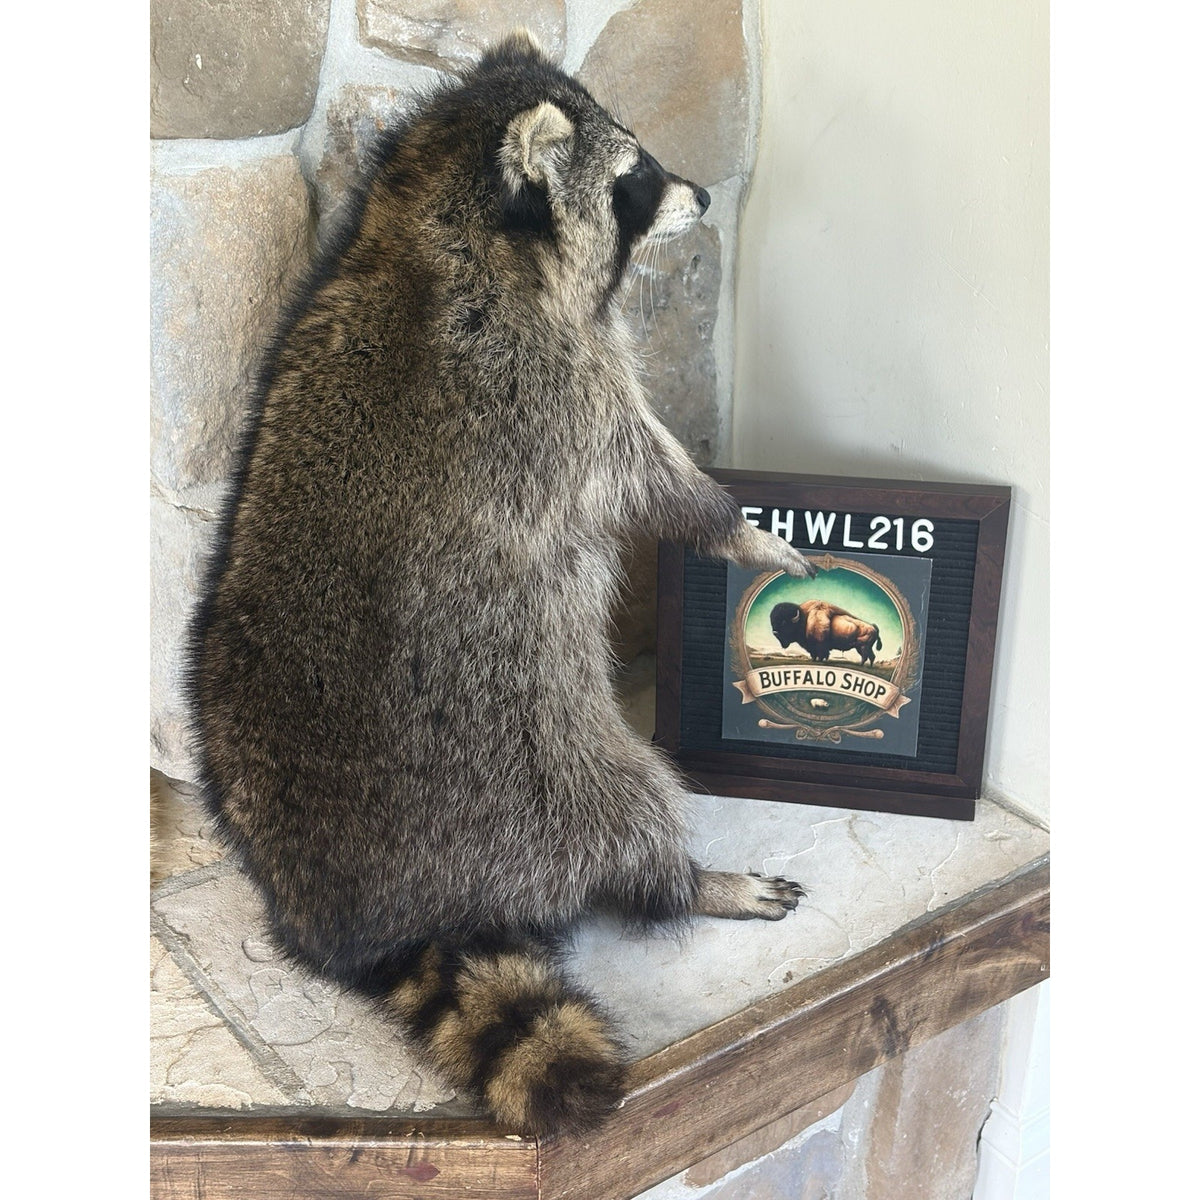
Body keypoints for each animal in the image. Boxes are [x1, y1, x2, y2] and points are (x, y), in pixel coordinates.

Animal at [186, 32, 816, 1137]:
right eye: (636, 177)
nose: (700, 193)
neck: (431, 216)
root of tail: (381, 918)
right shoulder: (558, 388)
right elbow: (649, 480)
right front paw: (742, 530)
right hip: (547, 767)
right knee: (629, 812)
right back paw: (688, 878)